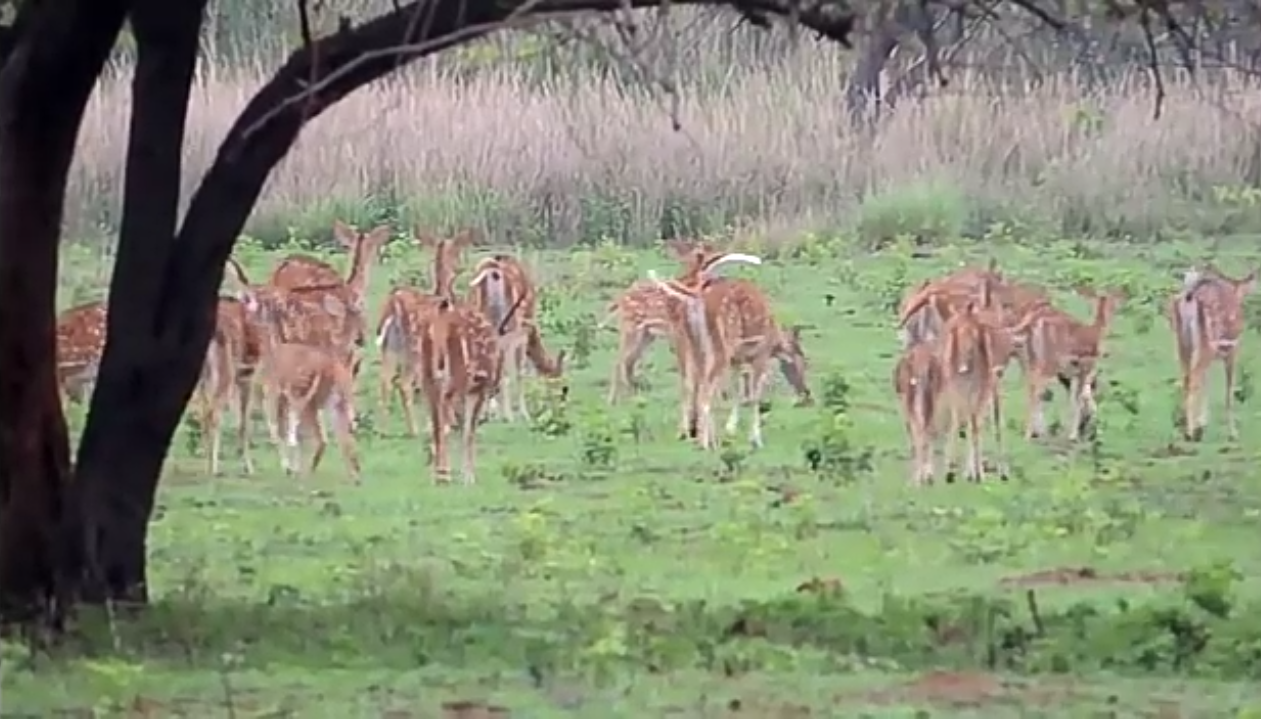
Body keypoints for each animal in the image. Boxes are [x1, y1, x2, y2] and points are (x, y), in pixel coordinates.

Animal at [373, 227, 476, 433]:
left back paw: (382, 429)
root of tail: (395, 301)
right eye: (456, 250)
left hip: (389, 346)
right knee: (403, 383)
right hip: (415, 347)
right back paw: (414, 430)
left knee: (385, 380)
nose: (460, 268)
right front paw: (446, 423)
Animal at [645, 253, 761, 449]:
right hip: (710, 351)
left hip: (693, 348)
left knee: (693, 384)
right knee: (705, 388)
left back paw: (693, 434)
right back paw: (706, 439)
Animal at [1165, 263, 1255, 438]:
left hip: (1183, 344)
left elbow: (1207, 383)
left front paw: (1203, 422)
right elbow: (1229, 391)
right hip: (1207, 344)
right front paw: (1233, 433)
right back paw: (1190, 432)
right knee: (1193, 379)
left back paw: (1186, 427)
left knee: (1186, 378)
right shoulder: (1233, 349)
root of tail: (1189, 298)